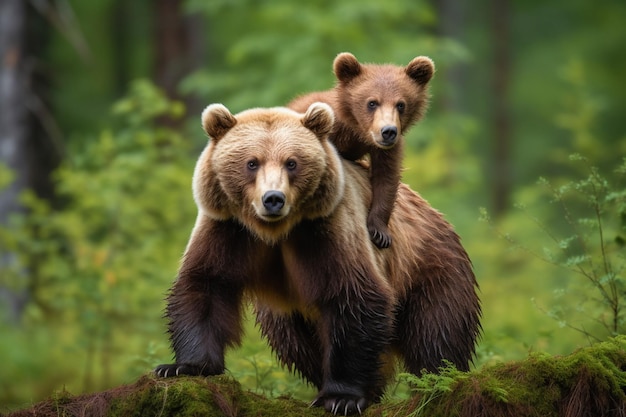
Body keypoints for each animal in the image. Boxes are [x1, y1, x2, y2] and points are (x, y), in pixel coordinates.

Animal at [155, 102, 478, 414]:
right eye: (251, 162)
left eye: (292, 162)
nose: (273, 199)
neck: (275, 231)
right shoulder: (228, 229)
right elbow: (205, 285)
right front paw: (182, 366)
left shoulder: (328, 229)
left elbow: (354, 297)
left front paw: (343, 397)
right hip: (285, 312)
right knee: (296, 342)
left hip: (429, 268)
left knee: (436, 333)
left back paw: (435, 384)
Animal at [288, 51, 432, 247]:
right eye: (372, 103)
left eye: (401, 104)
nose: (388, 131)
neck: (356, 131)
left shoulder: (386, 149)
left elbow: (386, 179)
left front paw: (380, 232)